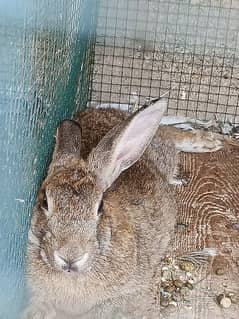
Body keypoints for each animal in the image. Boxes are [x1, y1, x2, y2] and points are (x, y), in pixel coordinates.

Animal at [22, 100, 222, 319]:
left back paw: (208, 141)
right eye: (44, 202)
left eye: (100, 206)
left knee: (169, 136)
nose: (70, 257)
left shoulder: (123, 293)